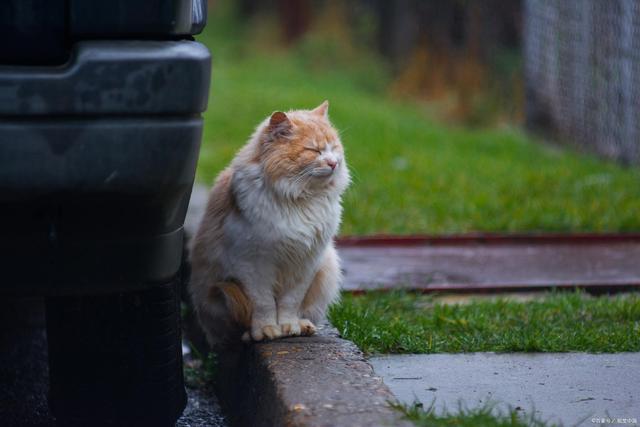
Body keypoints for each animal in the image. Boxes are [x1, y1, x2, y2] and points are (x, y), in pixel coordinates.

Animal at [190, 102, 350, 350]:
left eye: (334, 148)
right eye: (314, 150)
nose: (333, 163)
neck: (299, 199)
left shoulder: (306, 263)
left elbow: (290, 303)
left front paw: (289, 327)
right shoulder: (252, 264)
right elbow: (263, 304)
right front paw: (266, 331)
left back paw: (304, 326)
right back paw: (250, 335)